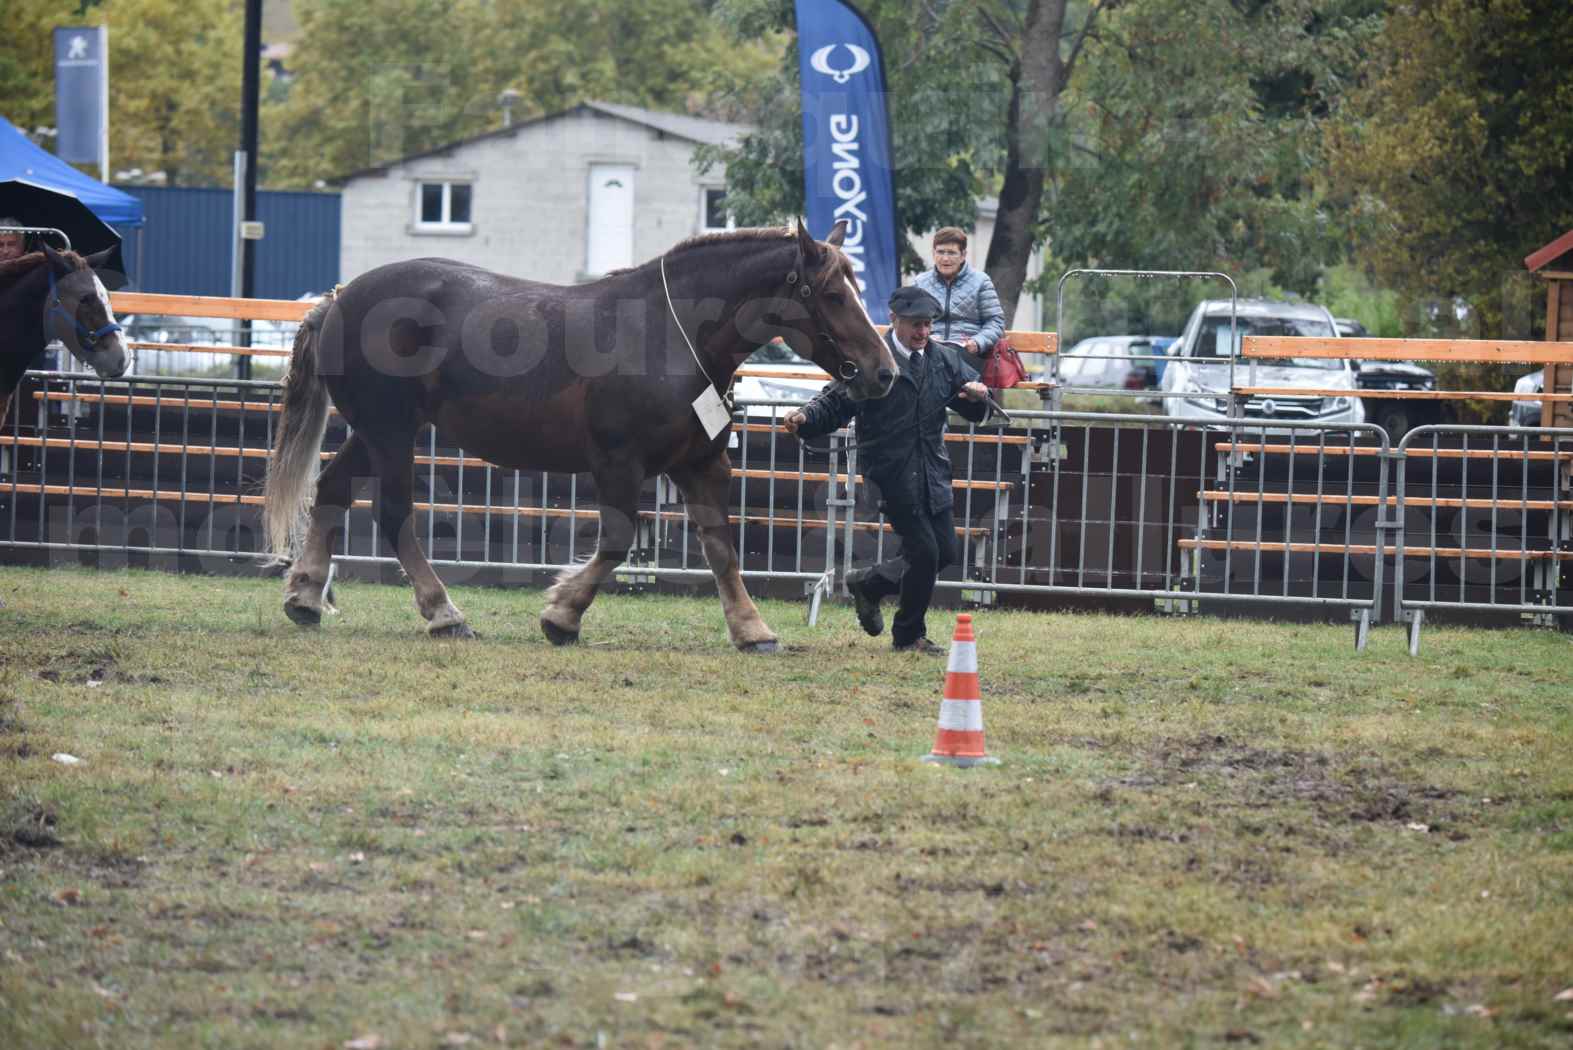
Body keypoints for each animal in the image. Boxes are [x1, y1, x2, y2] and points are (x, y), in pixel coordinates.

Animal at [264, 220, 893, 647]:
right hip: (391, 433)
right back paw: (444, 613)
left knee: (332, 490)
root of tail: (338, 300)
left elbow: (721, 547)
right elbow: (617, 540)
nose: (884, 371)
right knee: (393, 513)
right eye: (833, 294)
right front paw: (562, 614)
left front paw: (751, 628)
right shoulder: (617, 463)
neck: (671, 333)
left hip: (376, 432)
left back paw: (305, 596)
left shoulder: (701, 464)